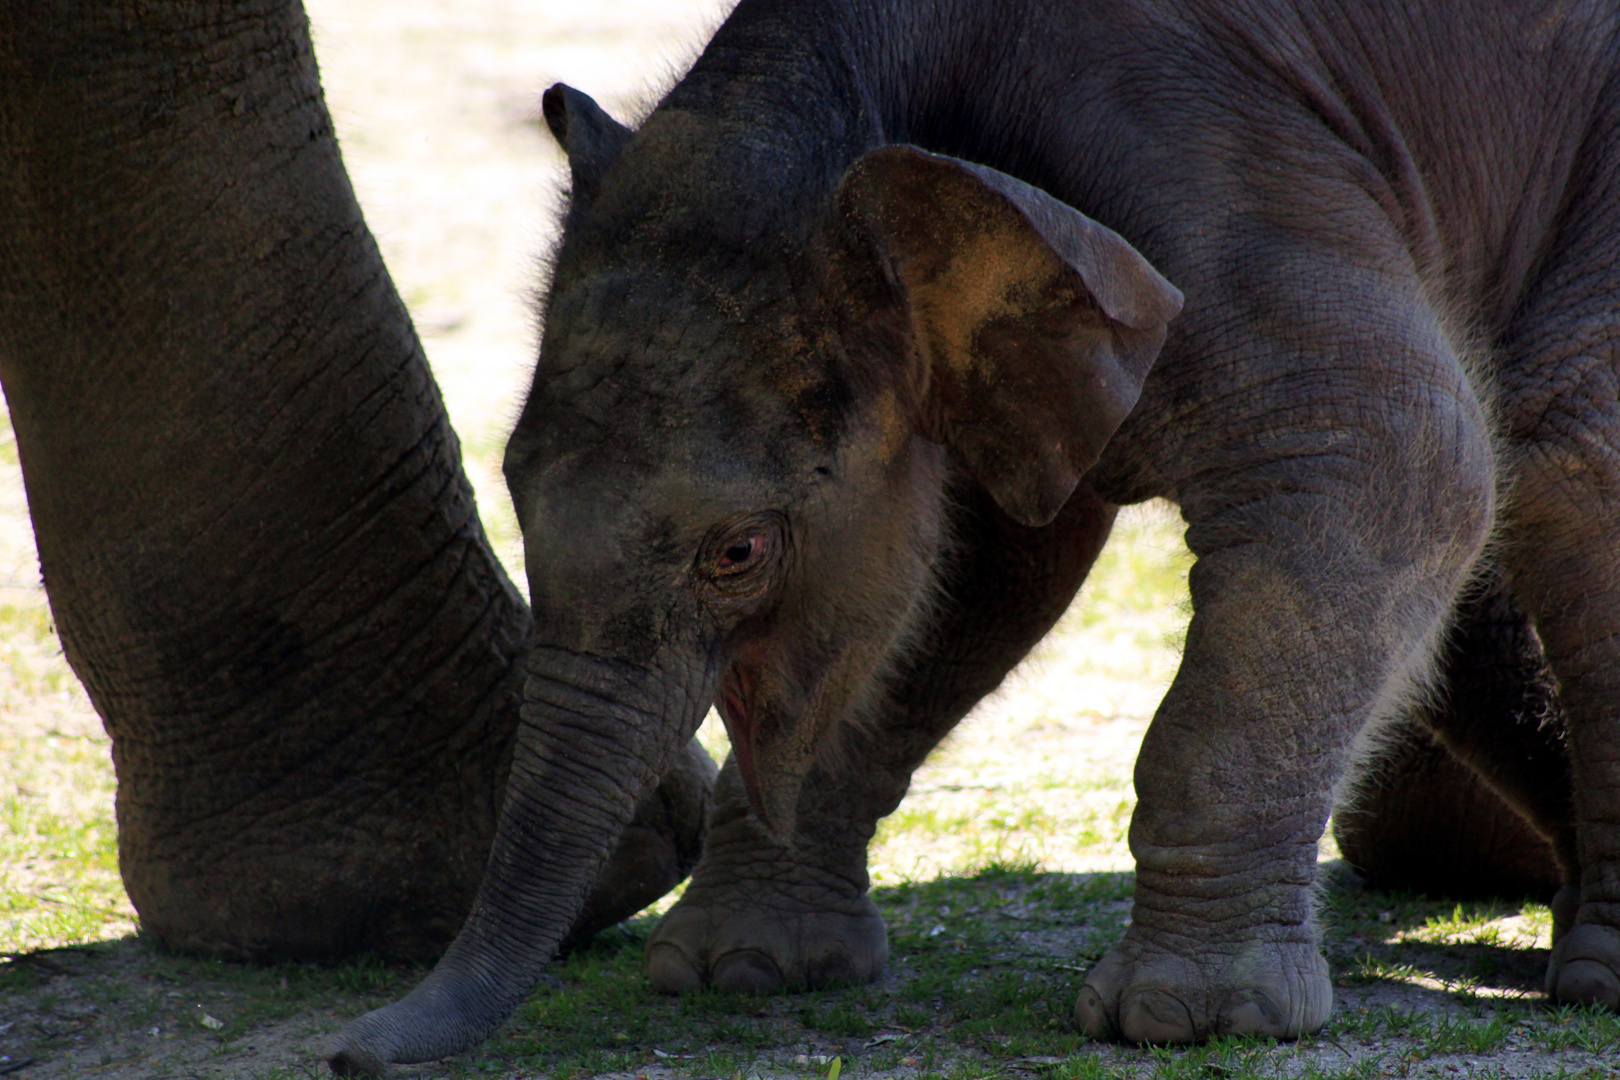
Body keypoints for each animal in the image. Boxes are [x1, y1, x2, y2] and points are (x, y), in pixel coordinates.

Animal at [328, 0, 1620, 1068]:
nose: (344, 1051)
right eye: (510, 482)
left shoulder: (1193, 154)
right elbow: (976, 572)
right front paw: (745, 971)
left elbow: (1394, 454)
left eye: (737, 553)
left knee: (1567, 452)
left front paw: (1185, 1020)